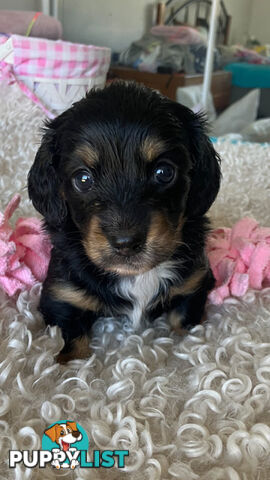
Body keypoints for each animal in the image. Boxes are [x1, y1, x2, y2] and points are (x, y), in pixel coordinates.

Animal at [28, 81, 221, 360]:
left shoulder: (195, 284)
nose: (126, 243)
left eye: (164, 172)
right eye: (83, 179)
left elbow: (185, 328)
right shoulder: (62, 299)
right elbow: (69, 351)